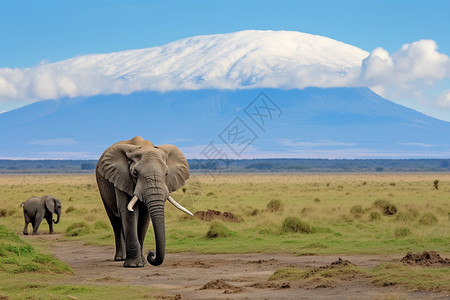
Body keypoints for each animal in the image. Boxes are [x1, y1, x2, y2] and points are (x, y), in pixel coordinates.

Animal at [96, 136, 192, 268]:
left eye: (166, 174)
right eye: (135, 173)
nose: (152, 254)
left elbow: (144, 217)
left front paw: (143, 262)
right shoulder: (122, 178)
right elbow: (129, 213)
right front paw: (134, 265)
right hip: (103, 189)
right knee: (115, 222)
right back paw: (120, 258)